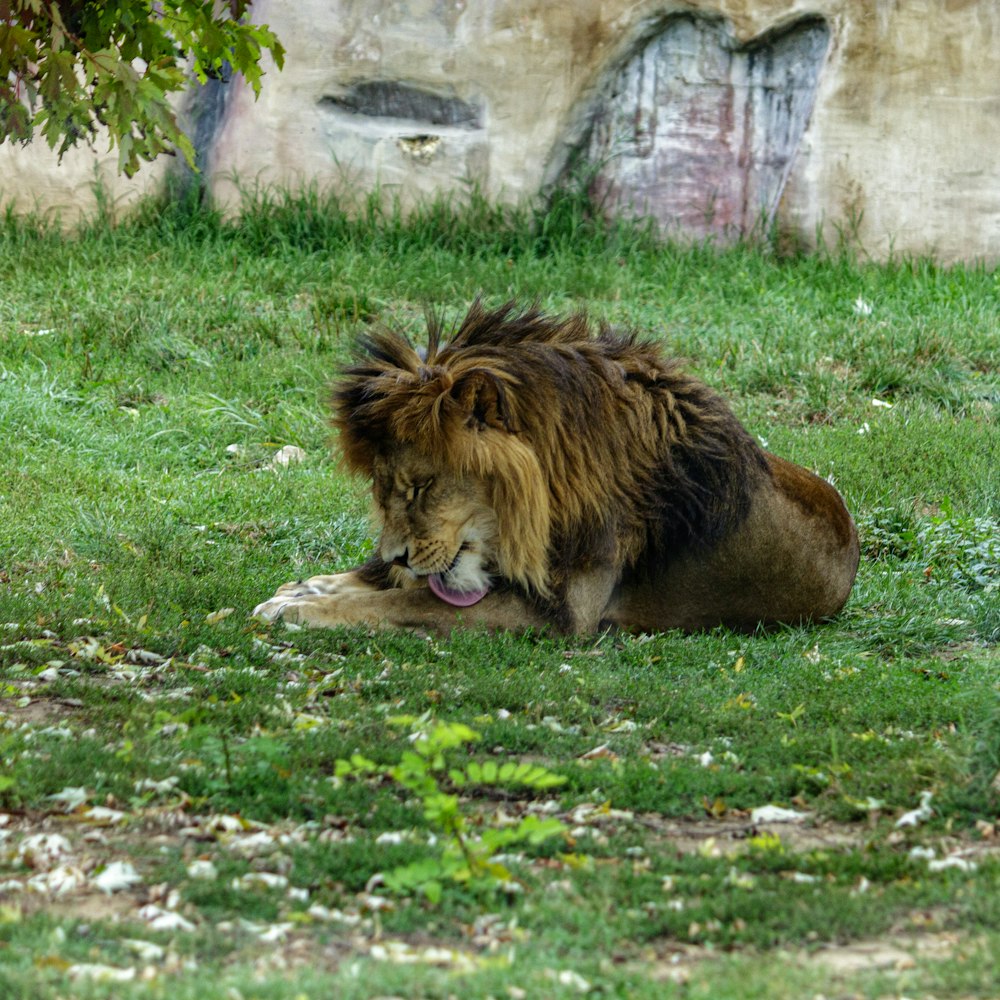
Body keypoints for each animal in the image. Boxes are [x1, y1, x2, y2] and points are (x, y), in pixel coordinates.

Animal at [252, 300, 860, 636]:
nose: (396, 552)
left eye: (423, 486)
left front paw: (305, 610)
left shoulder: (564, 613)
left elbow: (406, 600)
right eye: (382, 491)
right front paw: (306, 589)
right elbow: (394, 583)